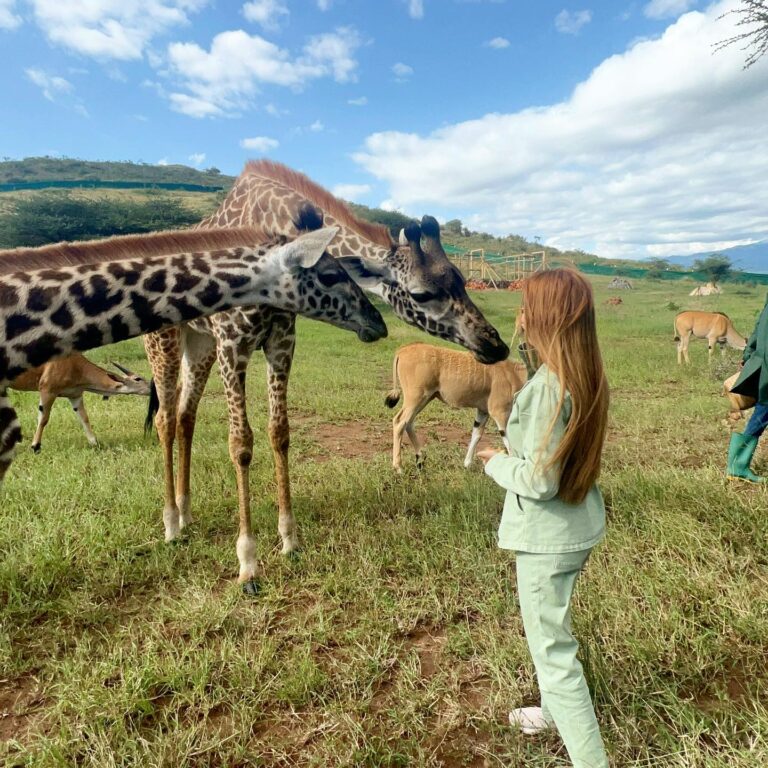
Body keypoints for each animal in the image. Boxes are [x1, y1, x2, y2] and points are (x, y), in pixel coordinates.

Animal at [9, 352, 150, 452]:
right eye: (138, 378)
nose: (152, 386)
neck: (76, 366)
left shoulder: (75, 396)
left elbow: (84, 418)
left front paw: (94, 443)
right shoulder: (47, 391)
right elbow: (43, 419)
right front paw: (35, 446)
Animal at [142, 160, 510, 592]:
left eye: (462, 280)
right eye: (422, 293)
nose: (495, 345)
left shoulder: (281, 340)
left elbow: (279, 433)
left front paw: (289, 540)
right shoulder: (234, 342)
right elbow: (241, 443)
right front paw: (248, 563)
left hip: (199, 342)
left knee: (186, 415)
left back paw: (186, 513)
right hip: (165, 340)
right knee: (165, 419)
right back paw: (171, 525)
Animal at [384, 344, 528, 472]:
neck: (514, 372)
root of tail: (402, 351)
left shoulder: (483, 411)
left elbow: (476, 434)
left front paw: (467, 464)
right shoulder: (499, 412)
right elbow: (509, 440)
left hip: (425, 399)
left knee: (408, 422)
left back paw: (420, 459)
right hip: (416, 398)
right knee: (399, 422)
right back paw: (398, 467)